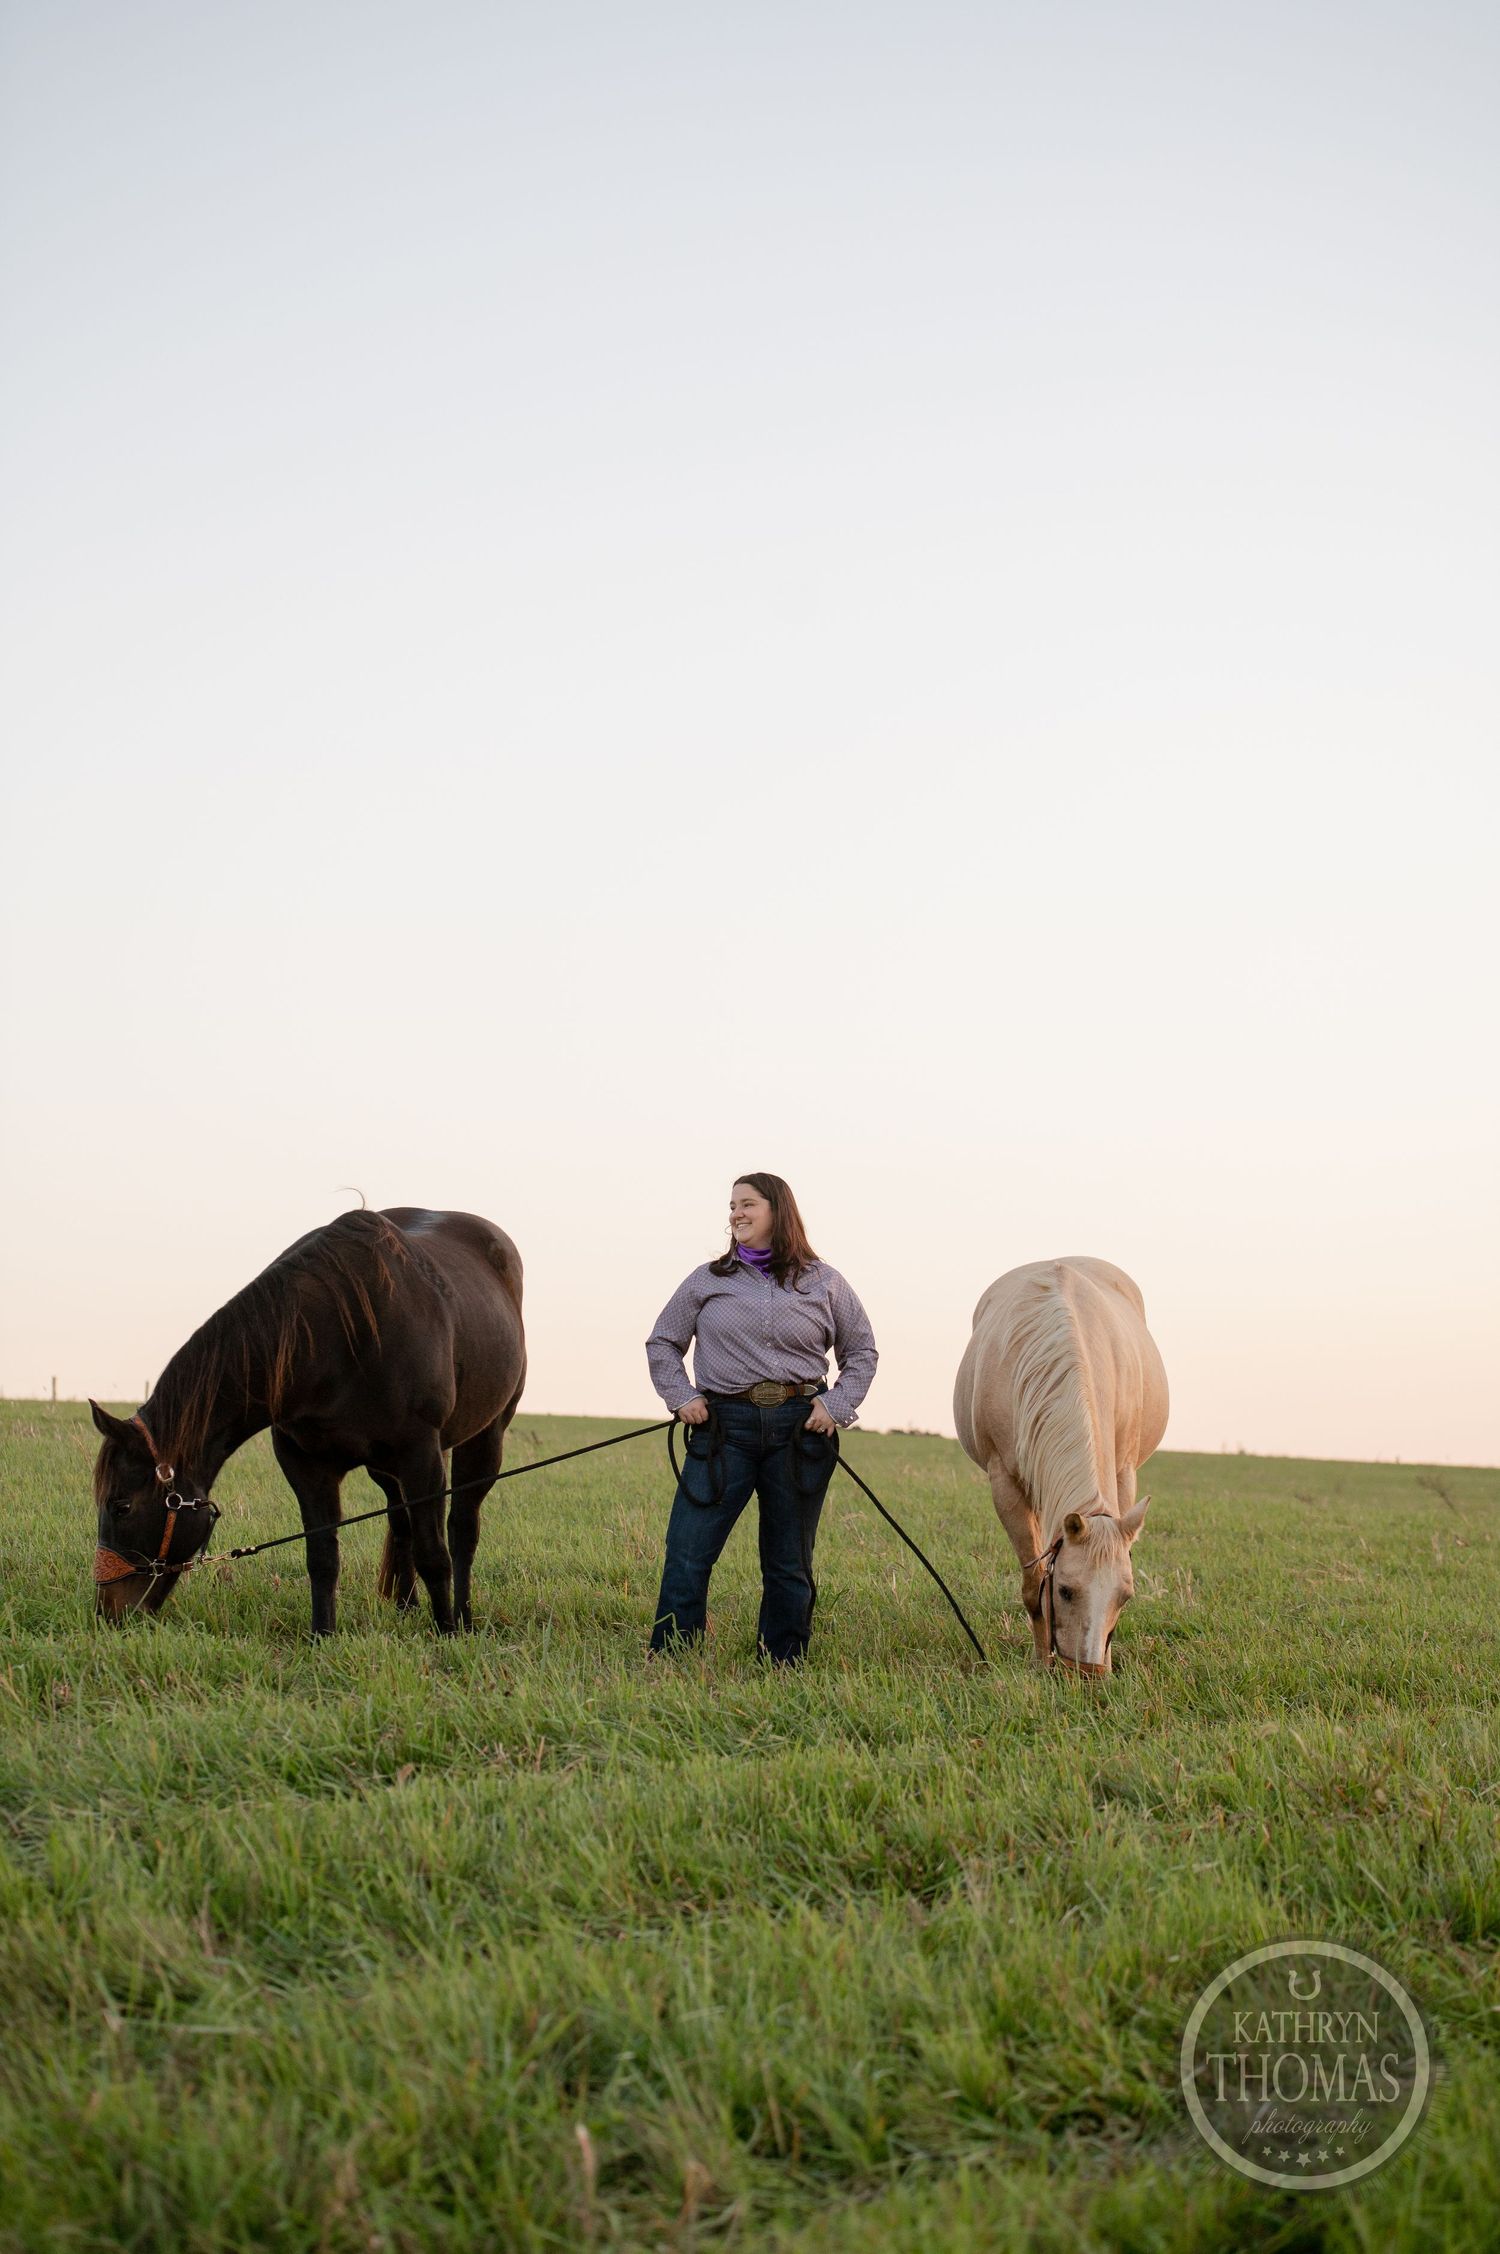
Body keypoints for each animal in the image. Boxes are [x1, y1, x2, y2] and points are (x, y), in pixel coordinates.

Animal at [91, 1207, 526, 1635]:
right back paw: (405, 1606)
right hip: (385, 1468)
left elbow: (434, 1553)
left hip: (484, 1440)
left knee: (463, 1529)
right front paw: (322, 1634)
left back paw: (463, 1618)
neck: (337, 1340)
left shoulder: (421, 1456)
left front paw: (446, 1633)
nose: (106, 1612)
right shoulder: (306, 1465)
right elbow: (321, 1556)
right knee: (400, 1524)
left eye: (121, 1506)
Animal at [953, 1257, 1168, 1675]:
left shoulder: (1123, 1473)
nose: (1089, 1676)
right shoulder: (1005, 1483)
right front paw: (1041, 1662)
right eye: (1066, 1591)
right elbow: (1033, 1584)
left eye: (1125, 1596)